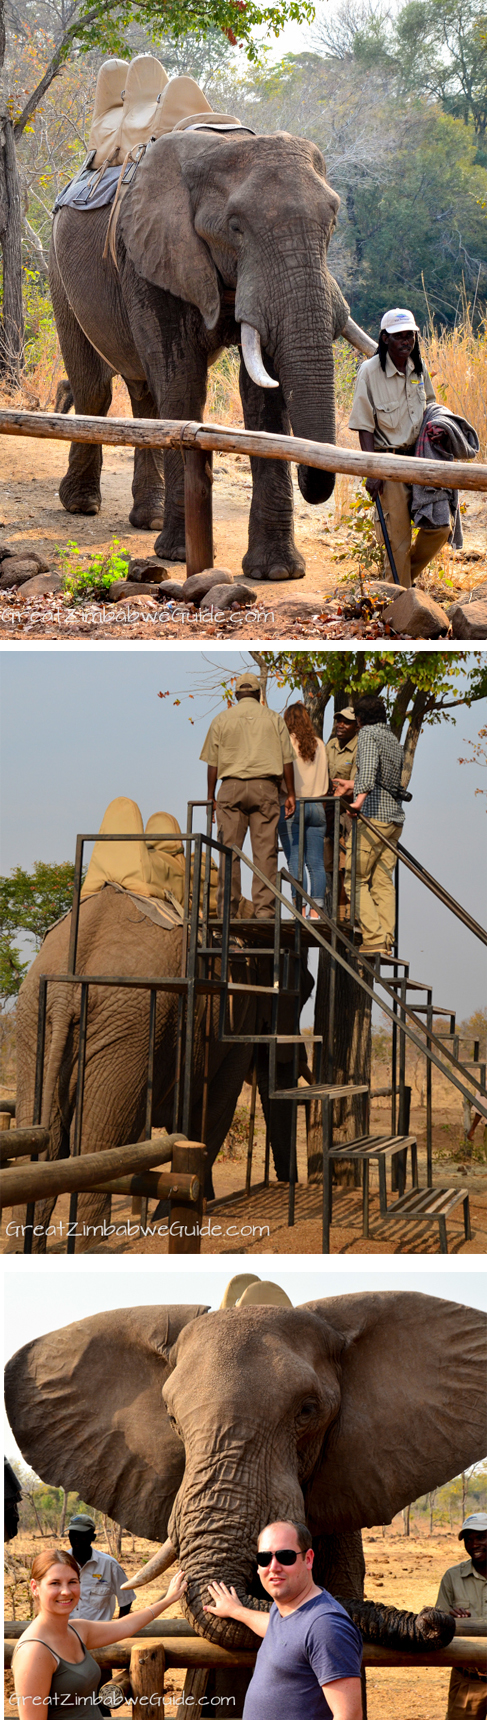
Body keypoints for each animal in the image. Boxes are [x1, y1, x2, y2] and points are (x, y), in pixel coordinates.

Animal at [50, 127, 369, 581]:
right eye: (235, 227)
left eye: (334, 222)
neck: (219, 146)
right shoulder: (153, 255)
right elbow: (182, 382)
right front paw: (180, 555)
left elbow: (264, 396)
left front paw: (277, 572)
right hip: (59, 268)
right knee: (96, 388)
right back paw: (81, 505)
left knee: (143, 392)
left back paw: (149, 517)